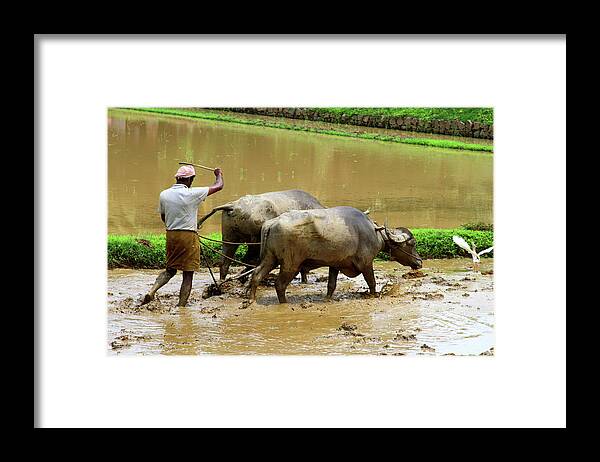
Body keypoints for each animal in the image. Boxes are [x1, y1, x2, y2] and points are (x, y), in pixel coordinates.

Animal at [198, 189, 326, 282]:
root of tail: (235, 206)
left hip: (229, 237)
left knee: (225, 262)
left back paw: (223, 282)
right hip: (254, 241)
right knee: (250, 260)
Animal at [247, 206, 422, 304]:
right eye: (412, 244)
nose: (419, 262)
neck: (376, 233)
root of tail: (271, 223)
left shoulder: (335, 265)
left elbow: (331, 285)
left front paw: (328, 299)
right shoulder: (366, 264)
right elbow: (371, 282)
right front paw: (375, 295)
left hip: (270, 259)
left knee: (256, 275)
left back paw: (252, 299)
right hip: (290, 264)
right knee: (279, 284)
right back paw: (284, 303)